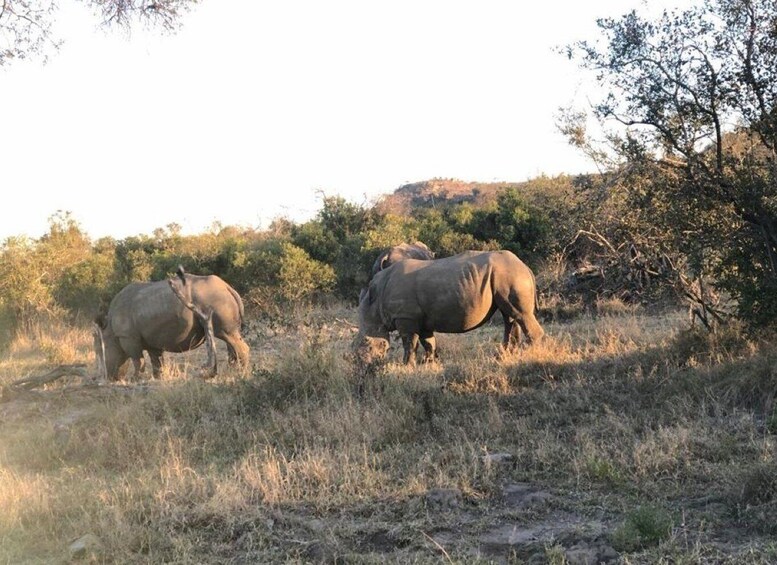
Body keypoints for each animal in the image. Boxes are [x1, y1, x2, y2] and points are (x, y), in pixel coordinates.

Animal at [94, 268, 249, 378]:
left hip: (215, 299)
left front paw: (136, 378)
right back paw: (232, 371)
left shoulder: (127, 336)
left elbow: (137, 359)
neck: (110, 330)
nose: (104, 377)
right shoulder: (151, 338)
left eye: (102, 352)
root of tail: (228, 287)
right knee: (230, 337)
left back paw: (240, 373)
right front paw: (158, 378)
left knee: (226, 335)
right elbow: (156, 361)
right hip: (217, 299)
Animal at [356, 249, 544, 364]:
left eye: (367, 342)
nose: (364, 363)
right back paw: (504, 356)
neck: (376, 298)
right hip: (506, 276)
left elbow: (409, 343)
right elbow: (428, 342)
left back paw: (529, 355)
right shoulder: (422, 319)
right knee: (509, 316)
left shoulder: (406, 317)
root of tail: (525, 266)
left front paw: (406, 366)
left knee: (520, 315)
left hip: (511, 275)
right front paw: (429, 364)